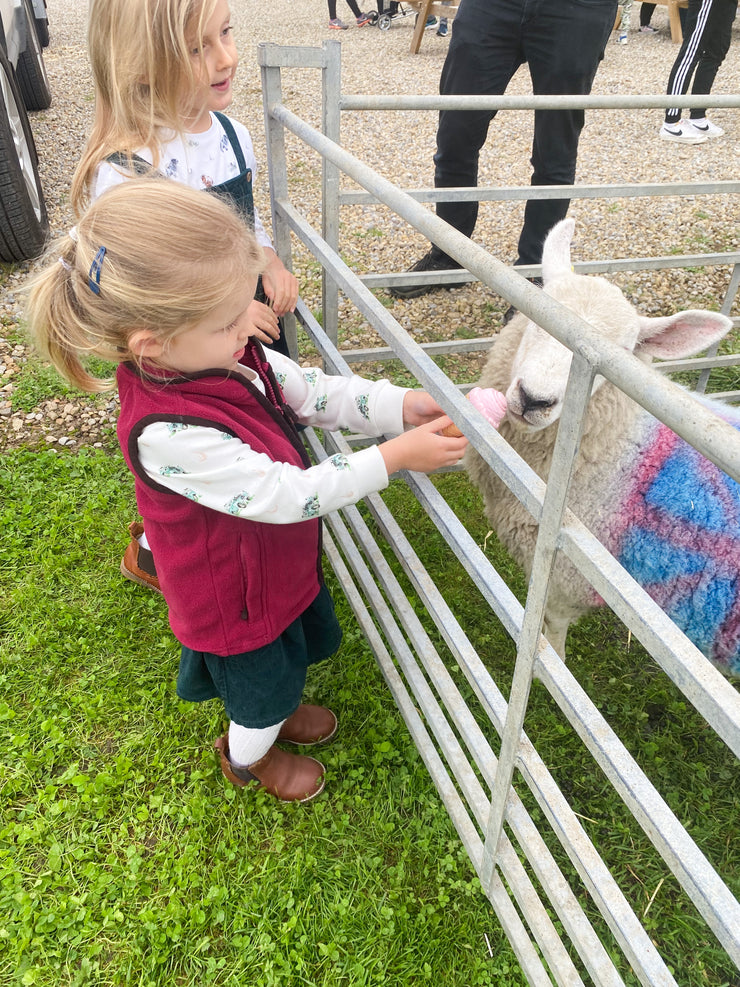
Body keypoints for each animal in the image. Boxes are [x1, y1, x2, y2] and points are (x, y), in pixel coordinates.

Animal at [466, 219, 736, 676]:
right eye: (537, 316)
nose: (534, 399)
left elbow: (552, 641)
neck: (617, 451)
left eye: (624, 352)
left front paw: (544, 674)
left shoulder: (564, 579)